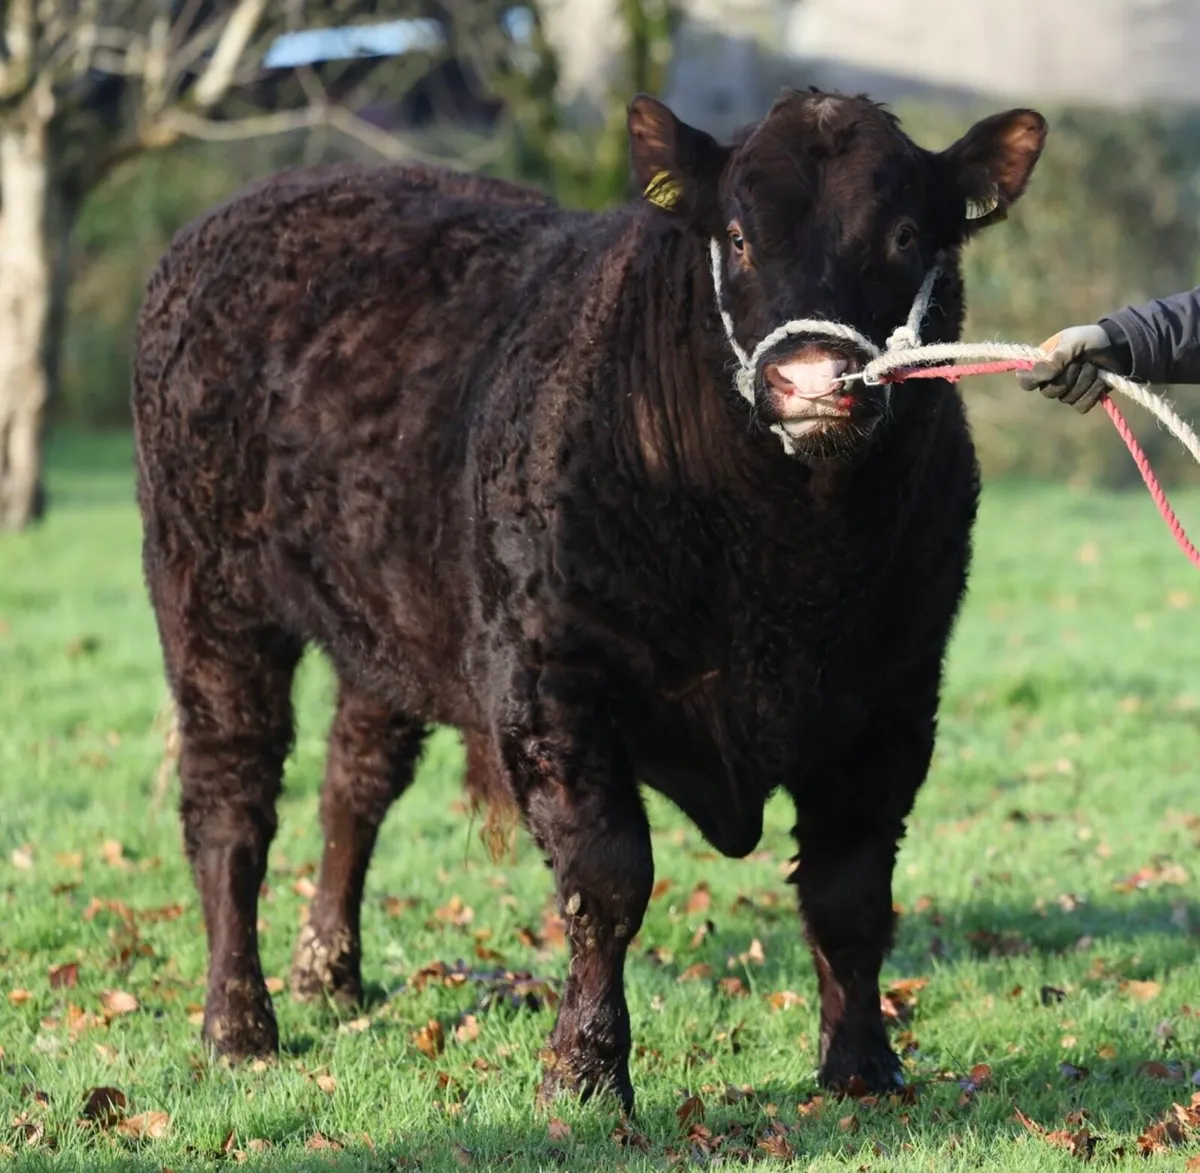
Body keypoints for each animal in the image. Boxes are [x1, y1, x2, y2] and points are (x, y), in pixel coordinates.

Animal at [131, 88, 1046, 1112]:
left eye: (904, 233)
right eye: (737, 234)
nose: (811, 379)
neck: (789, 570)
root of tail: (261, 199)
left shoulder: (894, 698)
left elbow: (849, 891)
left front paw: (863, 1064)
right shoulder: (554, 684)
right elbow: (608, 881)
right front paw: (585, 1071)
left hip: (389, 620)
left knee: (352, 785)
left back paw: (328, 971)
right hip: (207, 592)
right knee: (230, 803)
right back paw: (239, 1023)